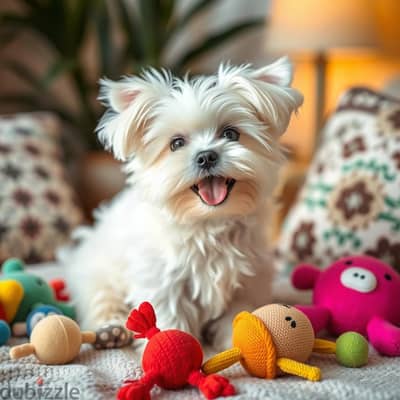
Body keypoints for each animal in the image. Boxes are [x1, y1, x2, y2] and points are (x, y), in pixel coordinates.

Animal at [64, 56, 304, 350]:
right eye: (176, 143)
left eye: (231, 134)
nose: (206, 156)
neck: (208, 223)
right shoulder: (162, 282)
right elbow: (170, 317)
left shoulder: (247, 283)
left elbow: (237, 315)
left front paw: (237, 347)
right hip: (99, 274)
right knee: (101, 300)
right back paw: (111, 330)